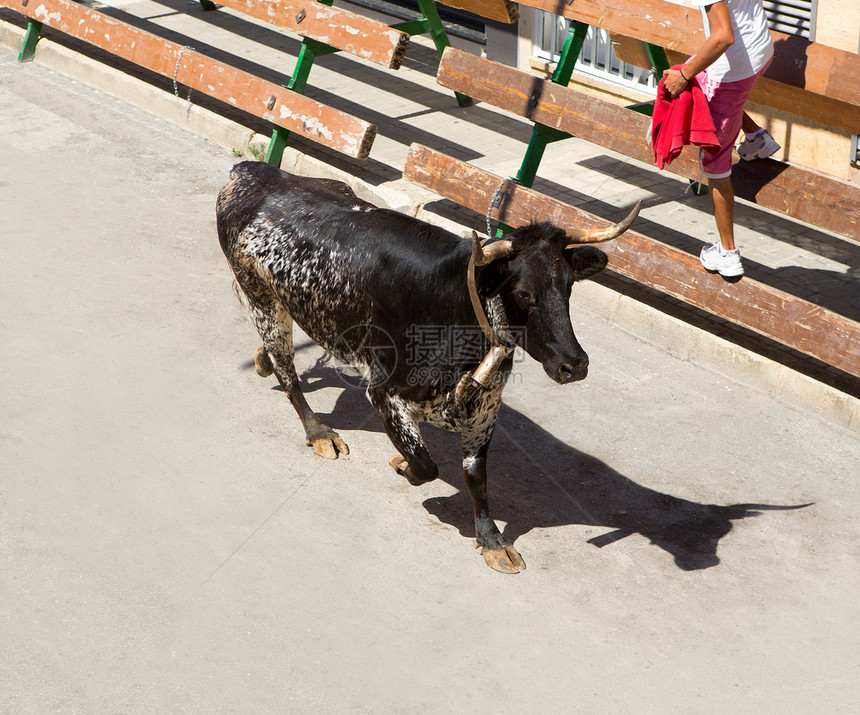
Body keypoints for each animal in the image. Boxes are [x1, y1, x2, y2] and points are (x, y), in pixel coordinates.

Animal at [218, 159, 640, 572]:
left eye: (568, 287)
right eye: (523, 293)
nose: (574, 364)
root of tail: (252, 172)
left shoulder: (485, 409)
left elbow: (476, 476)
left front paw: (491, 540)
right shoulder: (384, 393)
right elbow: (425, 465)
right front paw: (403, 465)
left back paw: (262, 361)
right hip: (263, 300)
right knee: (288, 371)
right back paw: (318, 431)